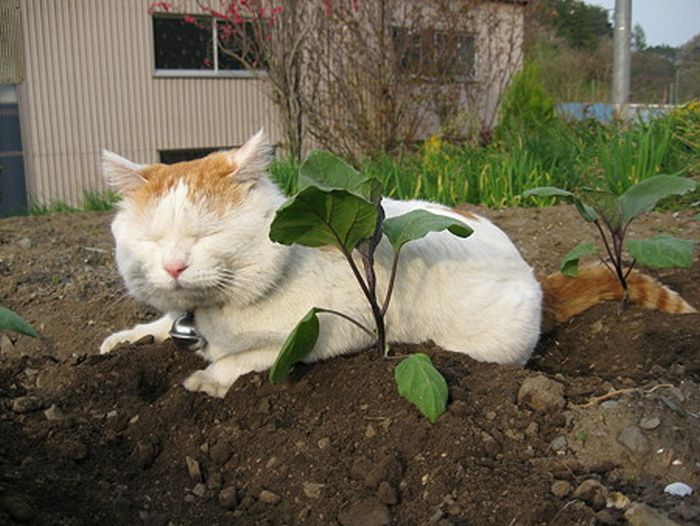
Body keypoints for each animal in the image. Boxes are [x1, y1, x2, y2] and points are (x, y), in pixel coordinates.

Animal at [98, 130, 696, 398]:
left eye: (207, 236)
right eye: (153, 240)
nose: (174, 267)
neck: (214, 314)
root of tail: (535, 277)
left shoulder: (322, 333)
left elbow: (248, 359)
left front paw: (206, 380)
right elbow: (161, 327)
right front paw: (128, 339)